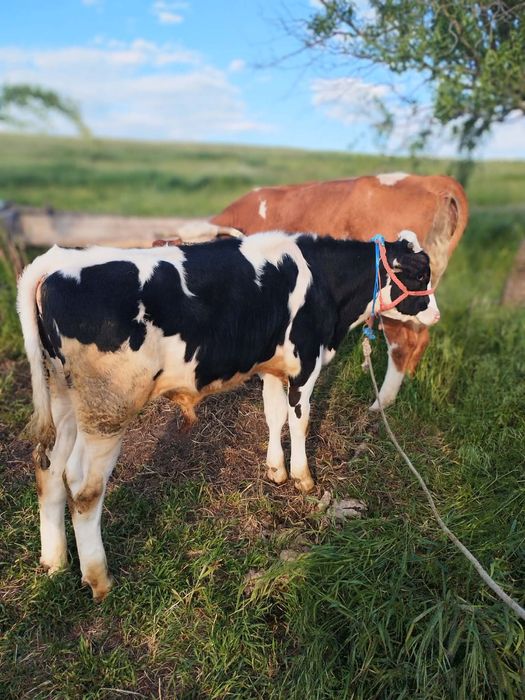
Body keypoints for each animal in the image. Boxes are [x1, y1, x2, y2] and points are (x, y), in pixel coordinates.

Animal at [17, 230, 439, 600]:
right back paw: (100, 580)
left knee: (49, 469)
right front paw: (303, 478)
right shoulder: (305, 363)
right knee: (83, 487)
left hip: (63, 396)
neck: (323, 282)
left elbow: (274, 415)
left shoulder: (272, 366)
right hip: (107, 408)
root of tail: (57, 261)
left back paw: (54, 563)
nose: (435, 314)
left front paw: (275, 470)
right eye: (420, 274)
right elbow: (300, 419)